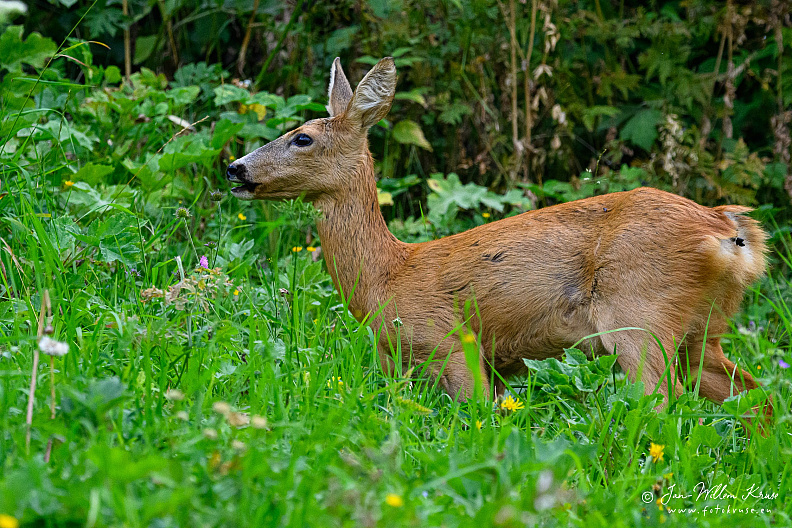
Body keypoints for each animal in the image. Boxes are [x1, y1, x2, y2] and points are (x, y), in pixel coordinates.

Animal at [226, 57, 769, 414]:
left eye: (302, 137)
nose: (235, 168)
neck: (387, 275)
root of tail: (729, 232)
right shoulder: (401, 359)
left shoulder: (449, 341)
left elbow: (480, 418)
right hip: (704, 329)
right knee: (756, 398)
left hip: (639, 315)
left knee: (661, 409)